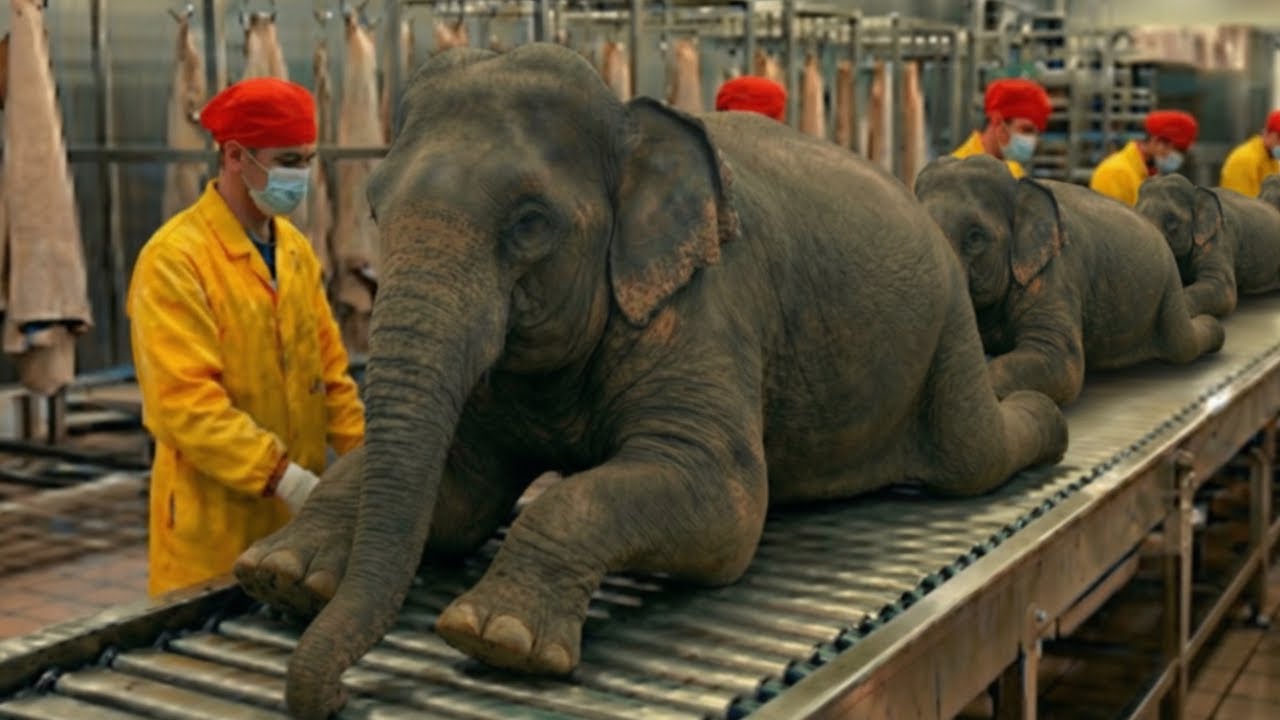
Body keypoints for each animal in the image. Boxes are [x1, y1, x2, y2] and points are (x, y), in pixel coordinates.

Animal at [232, 43, 1069, 720]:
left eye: (529, 223)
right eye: (375, 207)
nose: (338, 697)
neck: (628, 125)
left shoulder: (707, 302)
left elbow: (727, 502)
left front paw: (498, 638)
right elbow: (464, 492)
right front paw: (279, 577)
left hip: (946, 327)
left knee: (973, 454)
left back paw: (1047, 422)